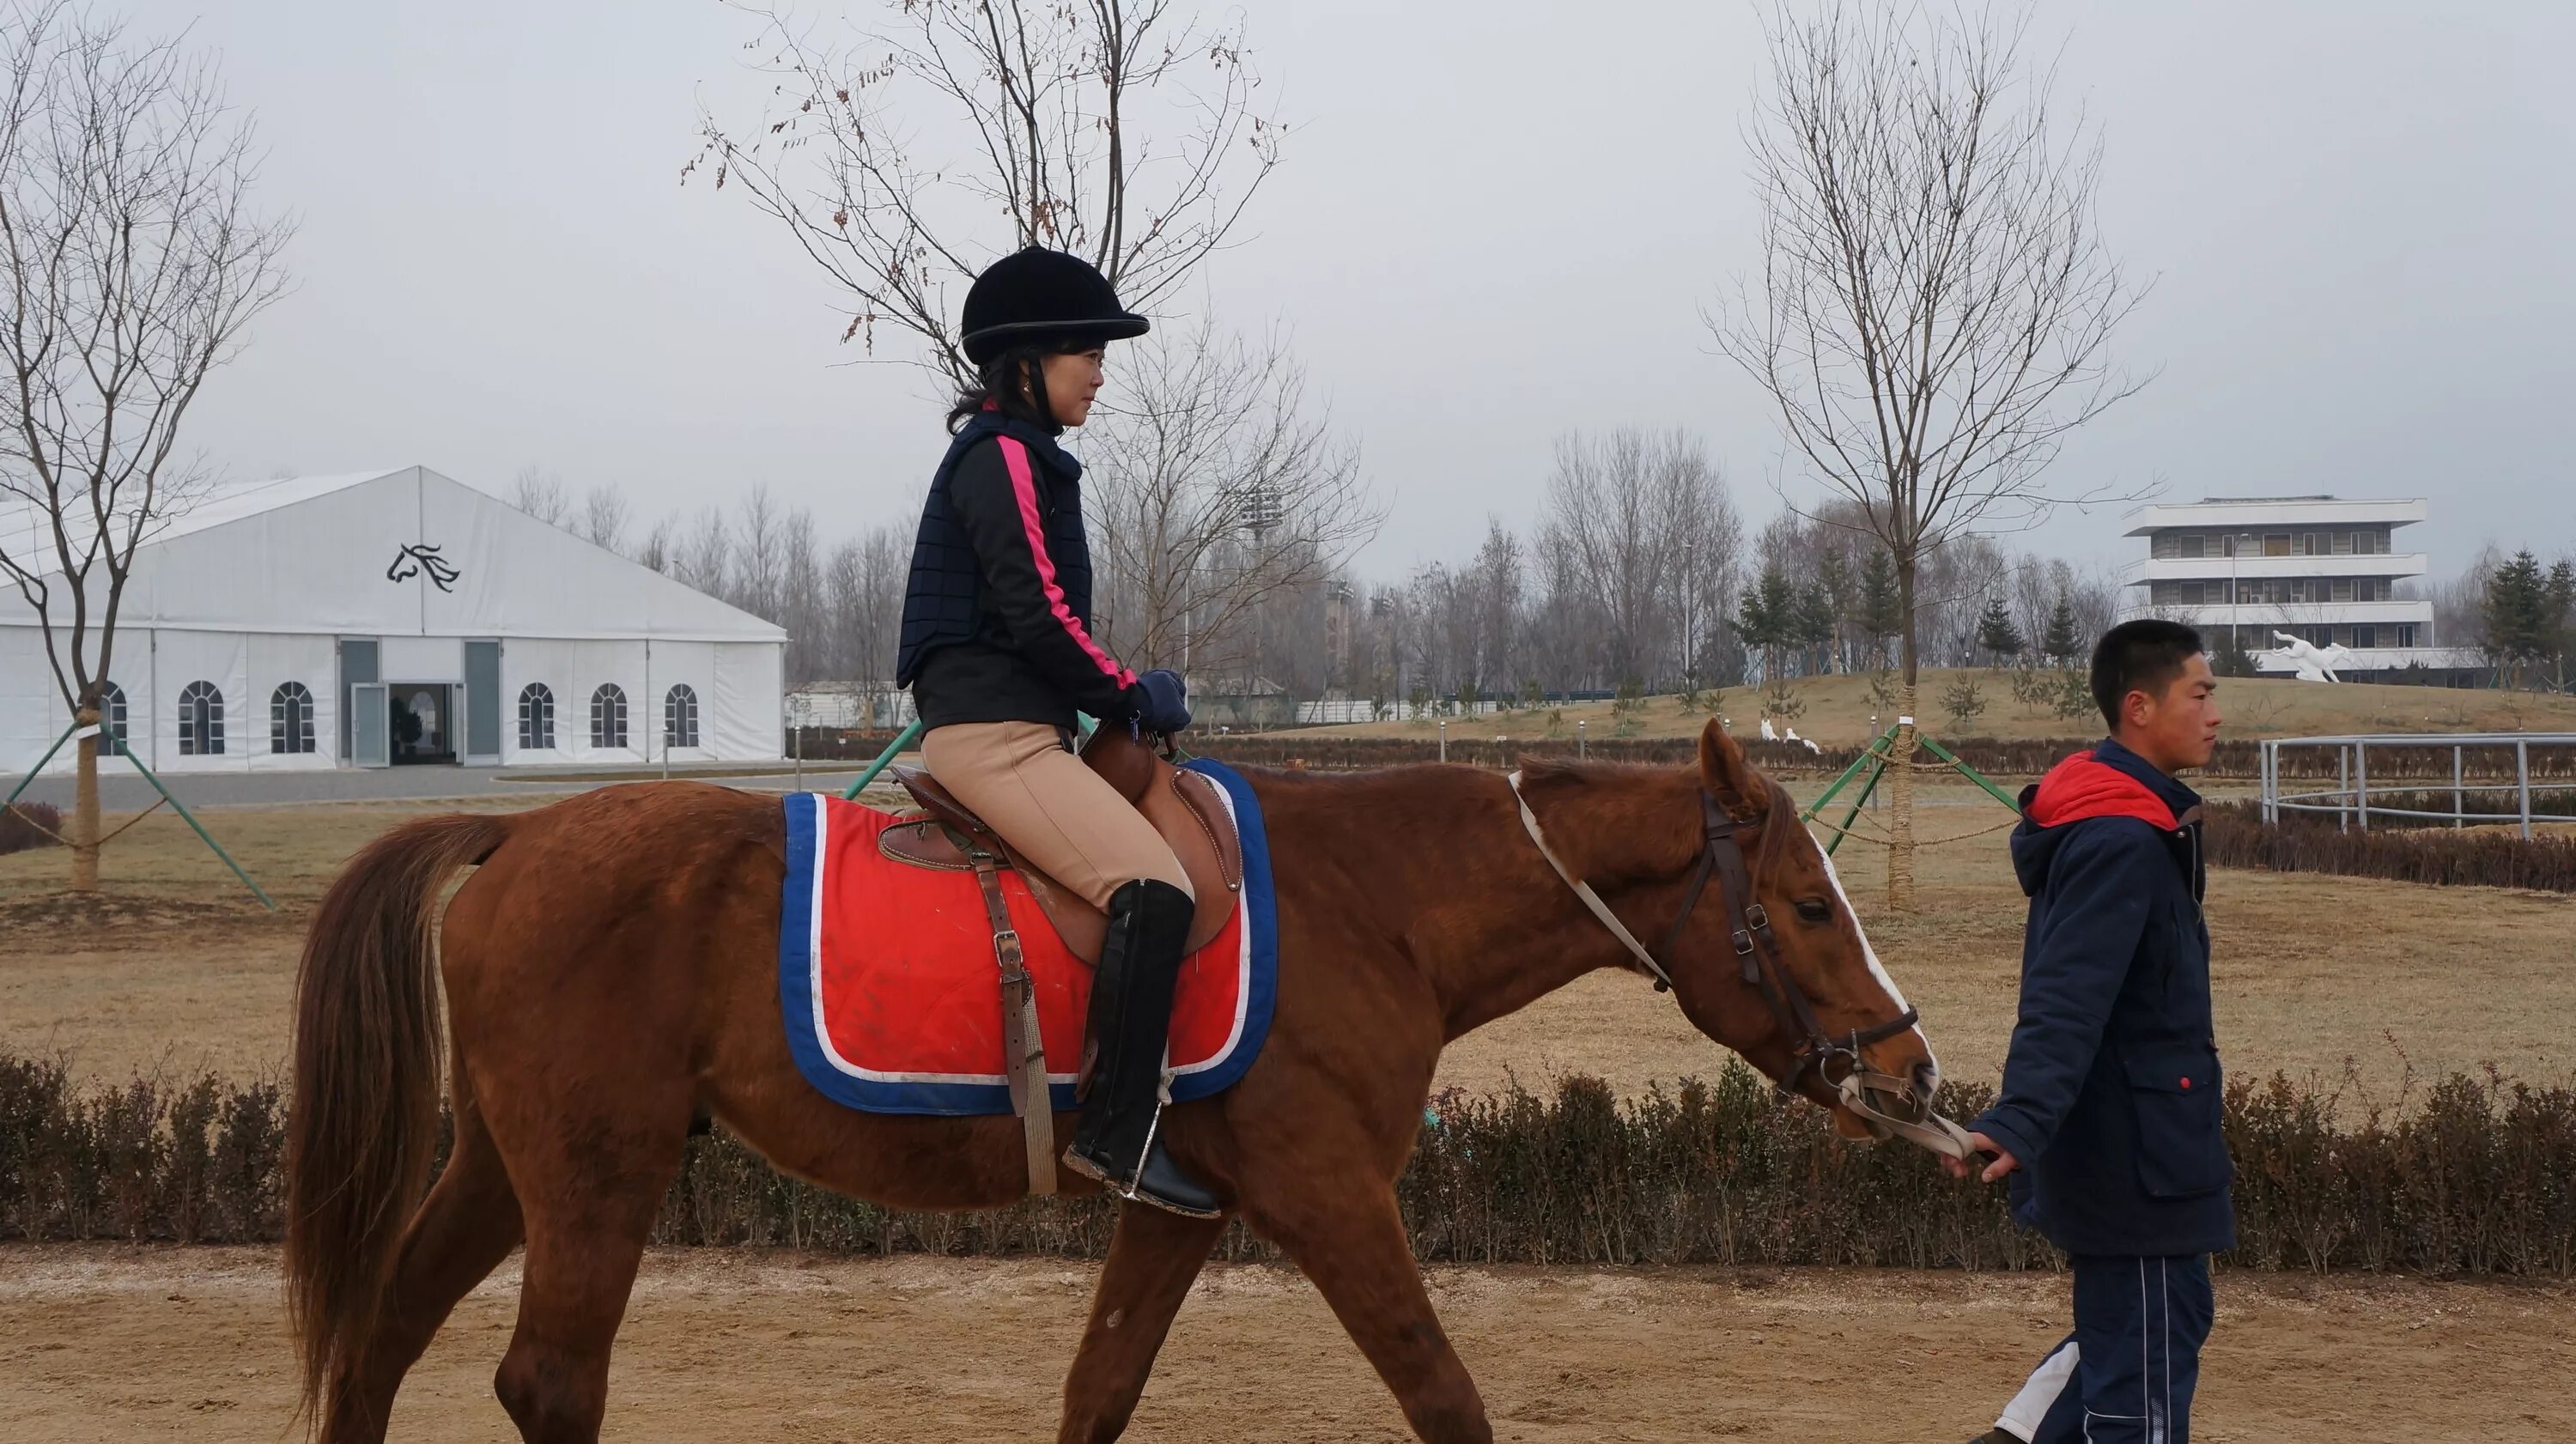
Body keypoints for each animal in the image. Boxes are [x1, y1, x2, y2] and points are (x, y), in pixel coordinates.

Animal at [282, 720, 1937, 1441]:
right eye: (1806, 905)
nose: (1914, 1066)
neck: (1371, 900)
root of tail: (518, 833)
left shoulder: (1178, 1207)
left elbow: (1101, 1388)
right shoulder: (1331, 1198)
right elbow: (1443, 1391)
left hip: (512, 1167)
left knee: (380, 1341)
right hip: (597, 1174)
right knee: (546, 1381)